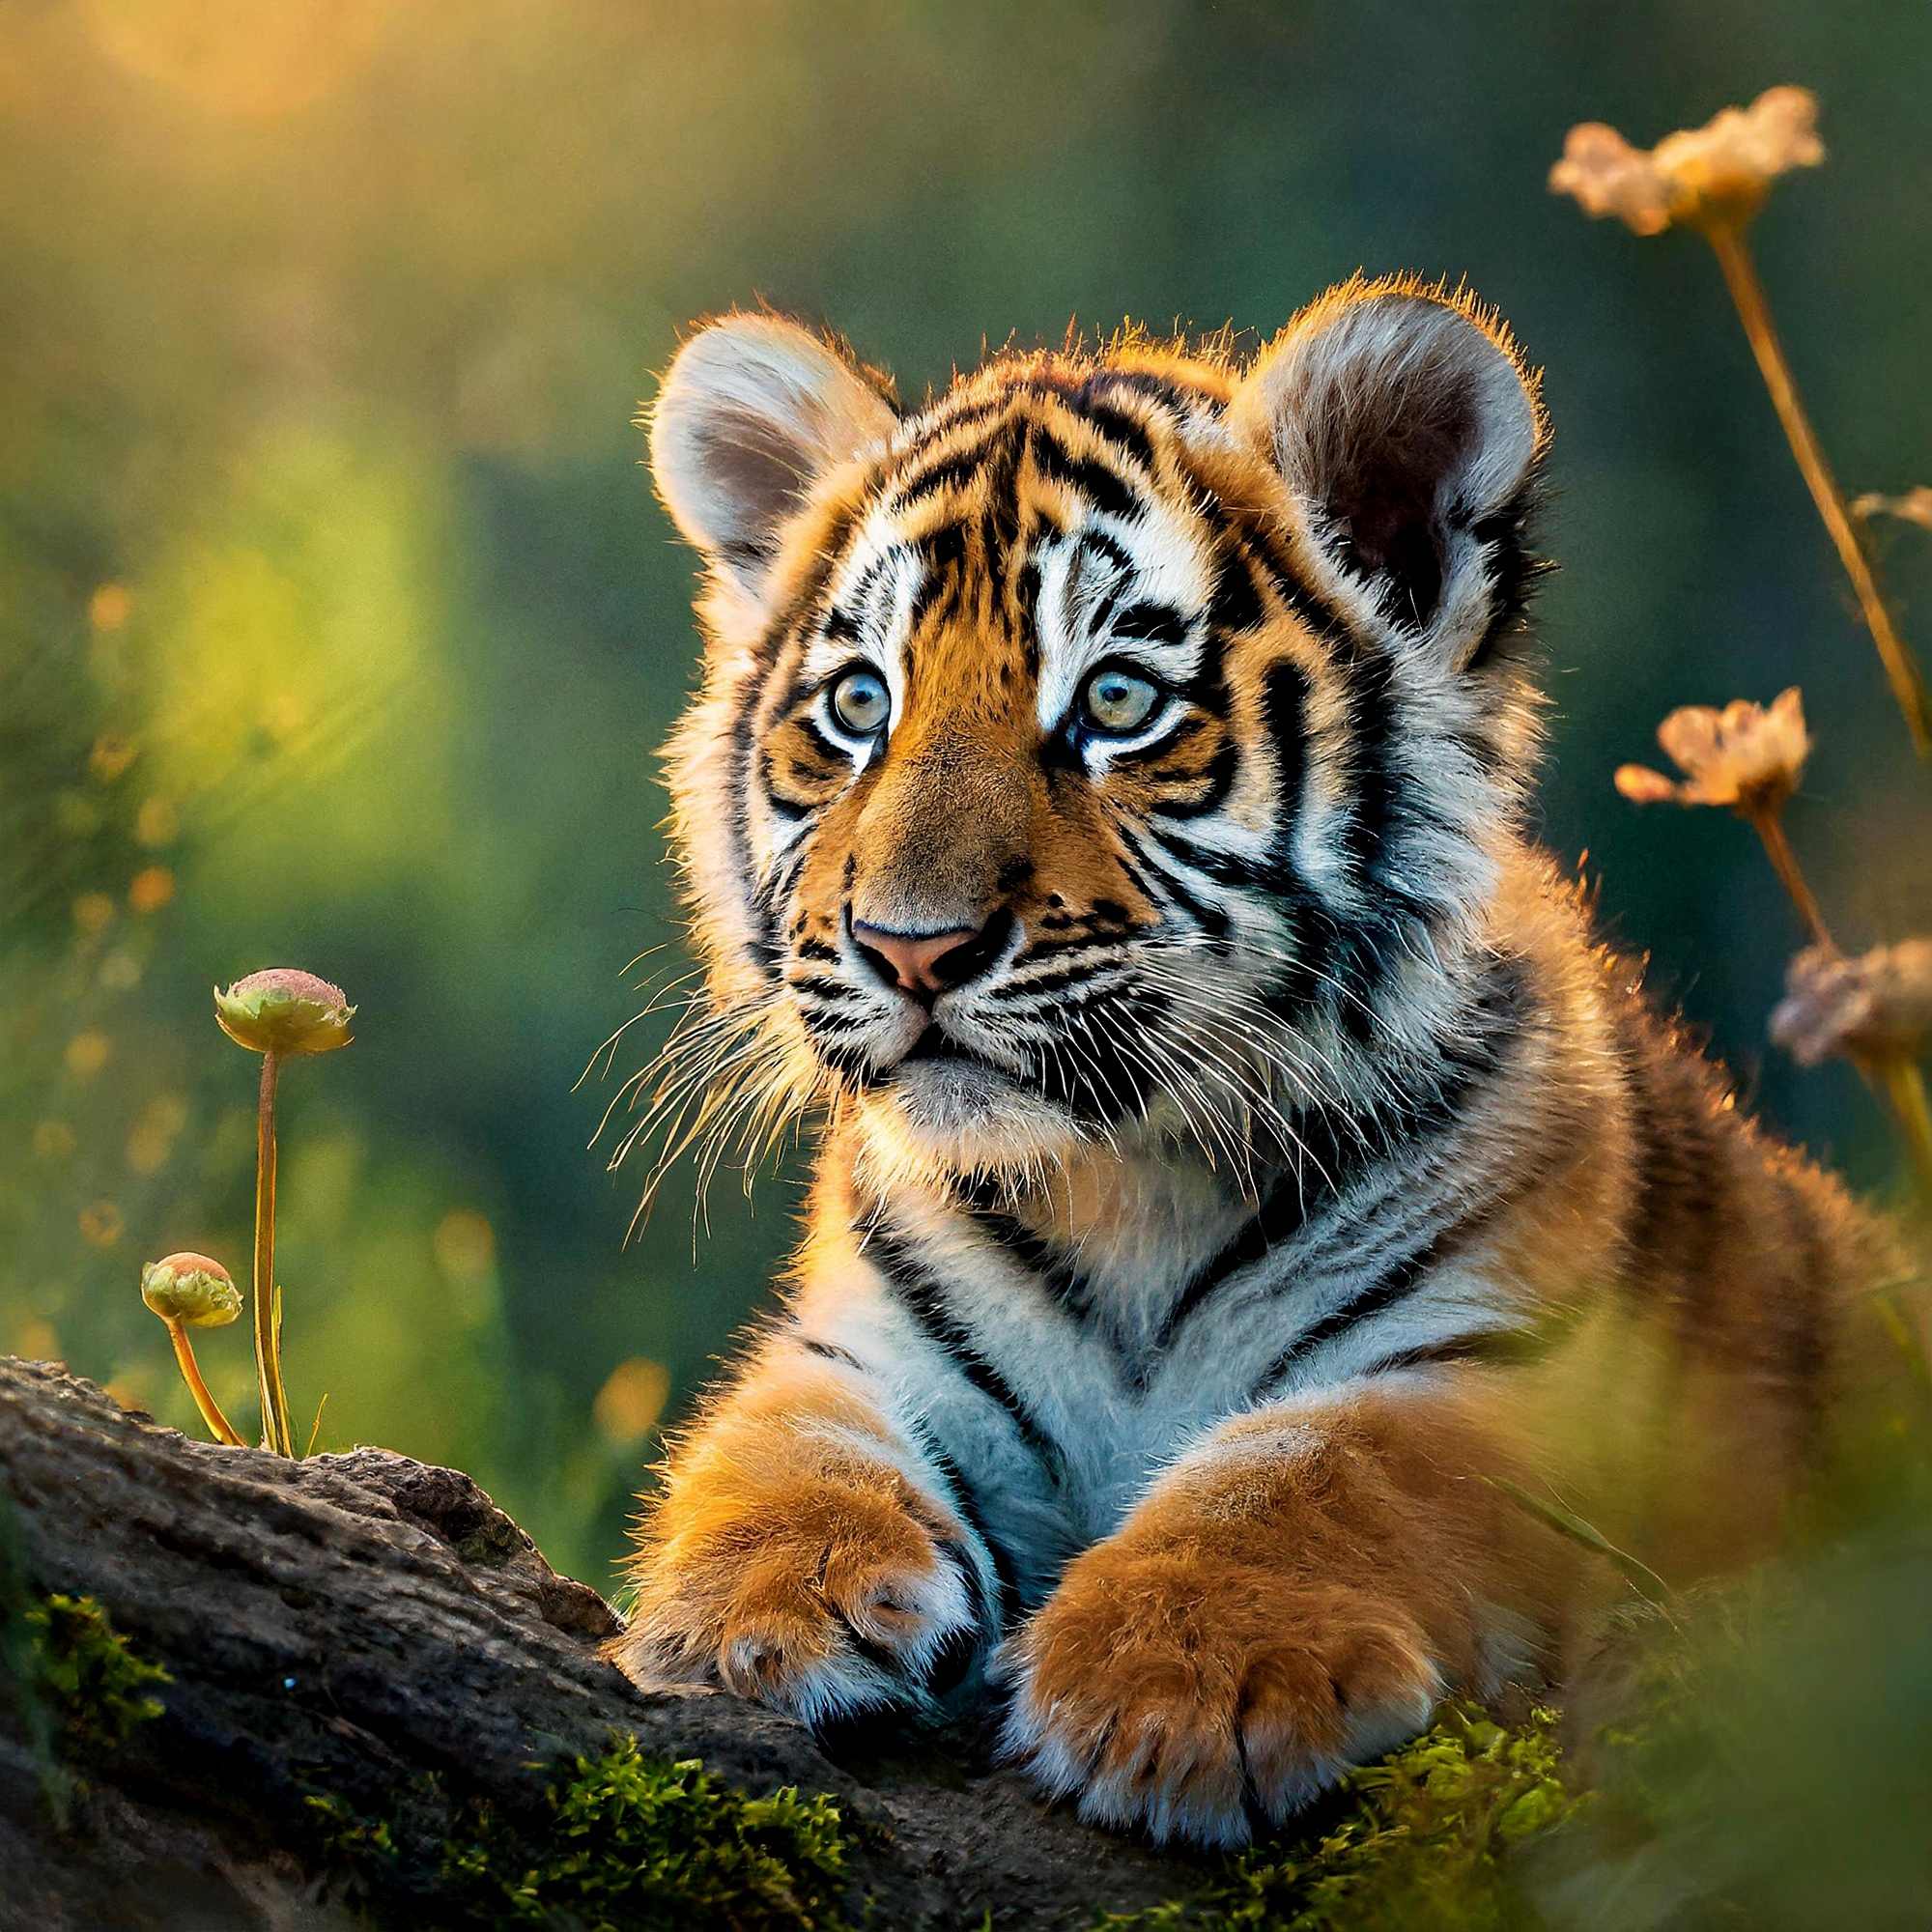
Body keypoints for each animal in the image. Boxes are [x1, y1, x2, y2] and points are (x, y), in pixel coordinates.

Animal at [609, 276, 1890, 1848]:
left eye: (1114, 704)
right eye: (858, 708)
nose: (911, 949)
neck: (1123, 1182)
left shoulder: (1500, 1372)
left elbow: (1313, 1465)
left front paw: (1179, 1681)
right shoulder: (861, 1343)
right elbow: (779, 1444)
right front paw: (758, 1610)